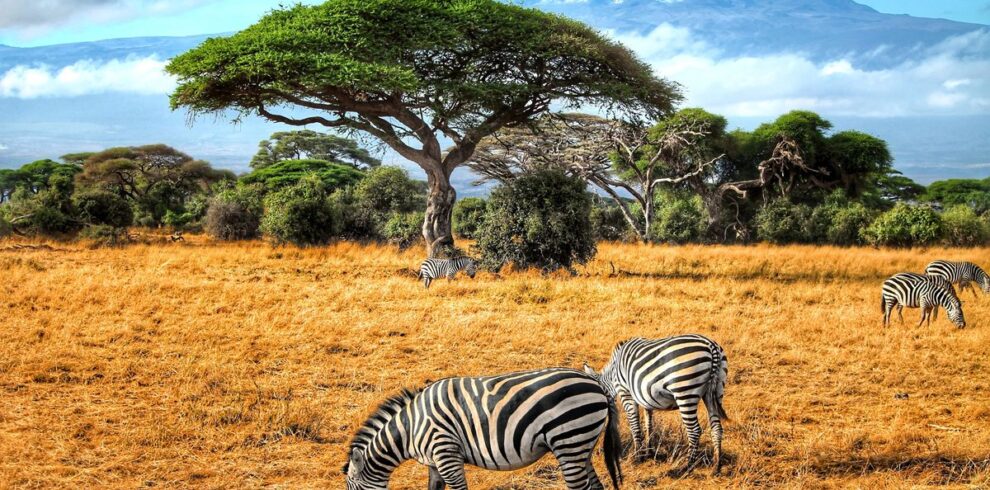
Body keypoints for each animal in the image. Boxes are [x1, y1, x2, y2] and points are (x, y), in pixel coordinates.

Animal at [344, 368, 623, 490]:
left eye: (350, 487)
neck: (411, 428)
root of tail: (597, 383)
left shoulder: (447, 454)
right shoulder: (434, 463)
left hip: (569, 440)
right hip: (581, 444)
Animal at [583, 335, 728, 476]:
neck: (613, 375)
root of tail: (711, 346)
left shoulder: (626, 393)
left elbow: (635, 426)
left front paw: (638, 456)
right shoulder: (645, 398)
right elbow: (648, 424)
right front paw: (649, 452)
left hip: (685, 390)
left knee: (694, 430)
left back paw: (687, 467)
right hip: (714, 391)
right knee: (716, 428)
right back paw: (716, 467)